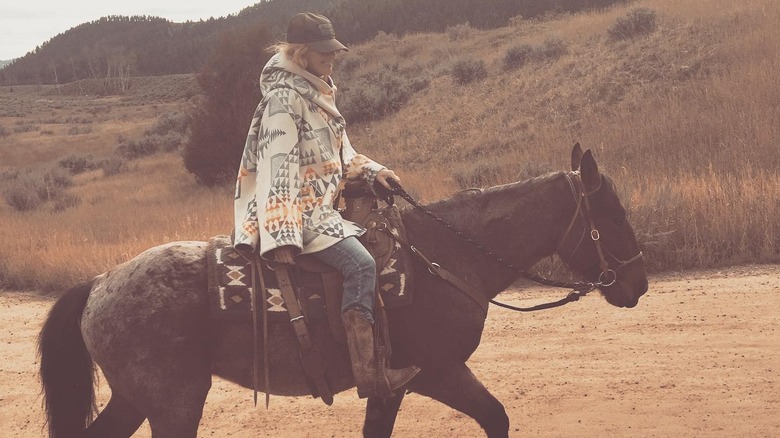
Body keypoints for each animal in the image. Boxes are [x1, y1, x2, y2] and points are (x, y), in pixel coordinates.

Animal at [38, 145, 644, 436]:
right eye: (613, 216)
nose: (636, 282)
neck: (445, 259)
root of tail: (100, 284)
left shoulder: (392, 388)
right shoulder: (435, 373)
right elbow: (495, 417)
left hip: (136, 399)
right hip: (173, 403)